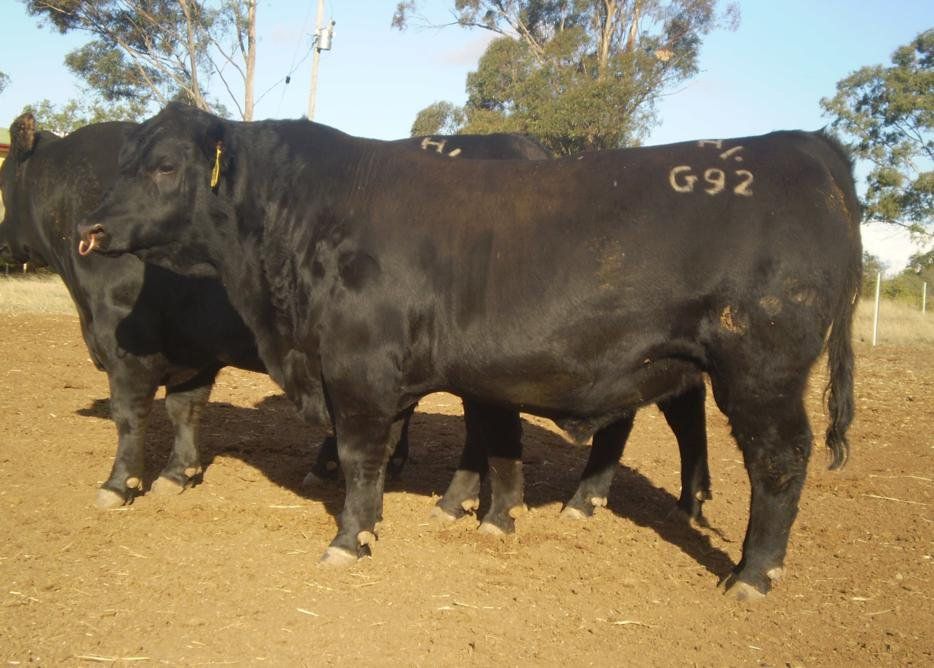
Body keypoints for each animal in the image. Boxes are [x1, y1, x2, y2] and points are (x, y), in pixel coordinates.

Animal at [0, 113, 712, 529]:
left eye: (2, 171)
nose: (94, 231)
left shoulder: (128, 346)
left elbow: (131, 418)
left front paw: (119, 484)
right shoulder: (193, 350)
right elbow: (185, 409)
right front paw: (180, 474)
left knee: (648, 412)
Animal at [79, 102, 861, 599]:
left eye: (166, 166)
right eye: (124, 159)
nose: (90, 226)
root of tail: (797, 143)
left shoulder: (358, 367)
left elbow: (363, 453)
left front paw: (351, 538)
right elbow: (483, 442)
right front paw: (478, 517)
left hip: (760, 371)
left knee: (779, 462)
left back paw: (752, 575)